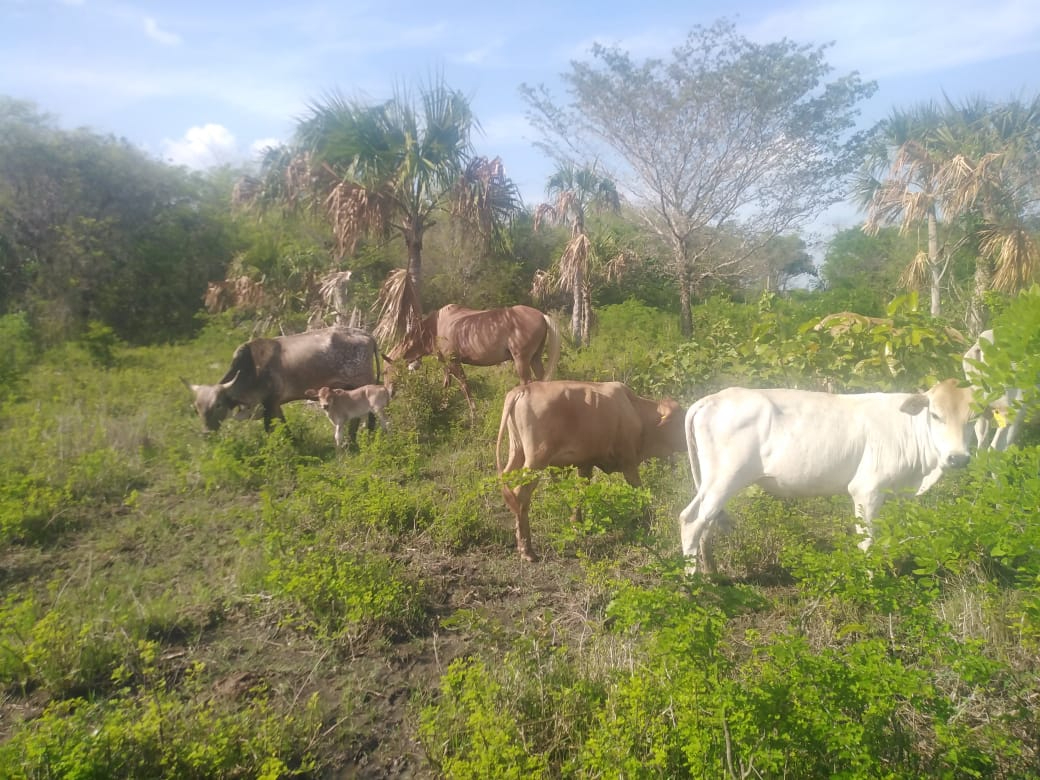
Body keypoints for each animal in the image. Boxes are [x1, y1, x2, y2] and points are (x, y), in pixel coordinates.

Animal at [185, 324, 380, 434]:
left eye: (218, 405)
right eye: (196, 408)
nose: (206, 433)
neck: (251, 368)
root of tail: (367, 335)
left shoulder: (271, 402)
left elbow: (275, 429)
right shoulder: (271, 405)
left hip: (363, 385)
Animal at [388, 303, 561, 411]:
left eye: (386, 370)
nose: (390, 393)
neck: (435, 327)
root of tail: (542, 315)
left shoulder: (454, 362)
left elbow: (464, 386)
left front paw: (473, 414)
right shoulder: (446, 365)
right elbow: (446, 384)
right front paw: (443, 406)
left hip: (522, 361)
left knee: (527, 383)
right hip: (535, 359)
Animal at [497, 380, 690, 557]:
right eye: (680, 421)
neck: (635, 412)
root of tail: (523, 389)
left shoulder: (585, 464)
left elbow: (581, 493)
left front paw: (578, 523)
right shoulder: (628, 462)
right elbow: (640, 490)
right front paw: (649, 520)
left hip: (517, 451)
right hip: (536, 460)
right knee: (520, 494)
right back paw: (527, 550)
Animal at [678, 380, 977, 574]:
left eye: (972, 419)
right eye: (935, 415)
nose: (958, 458)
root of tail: (712, 399)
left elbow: (886, 538)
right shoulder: (866, 489)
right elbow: (867, 541)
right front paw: (871, 580)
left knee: (704, 523)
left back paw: (712, 574)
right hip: (724, 478)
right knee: (691, 520)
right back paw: (692, 585)